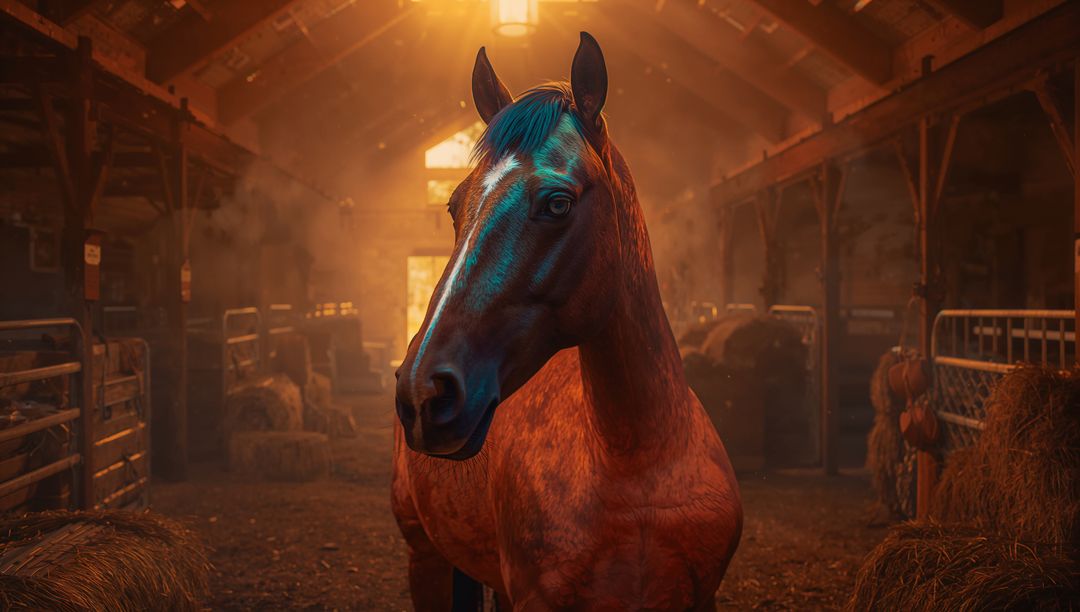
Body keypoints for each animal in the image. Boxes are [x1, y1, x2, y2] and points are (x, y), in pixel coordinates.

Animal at [392, 32, 742, 611]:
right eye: (453, 206)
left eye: (557, 203)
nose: (423, 392)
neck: (638, 462)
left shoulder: (700, 596)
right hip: (425, 559)